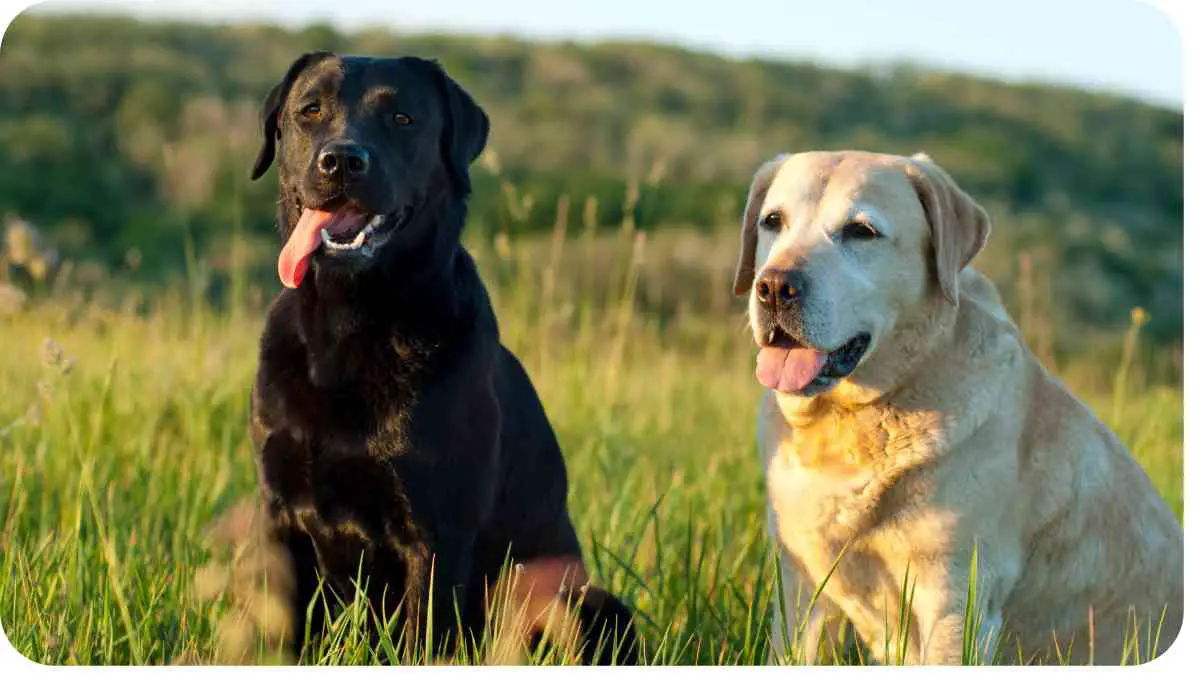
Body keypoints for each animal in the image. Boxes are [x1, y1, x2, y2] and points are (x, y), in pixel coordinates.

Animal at [242, 53, 638, 662]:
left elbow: (420, 638)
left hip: (592, 604)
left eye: (403, 118)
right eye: (310, 111)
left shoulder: (435, 532)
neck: (350, 329)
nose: (342, 160)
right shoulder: (281, 516)